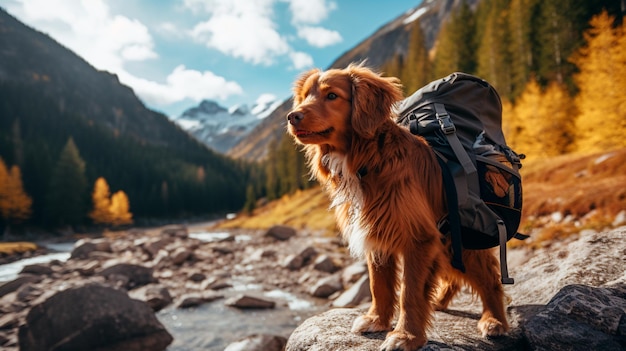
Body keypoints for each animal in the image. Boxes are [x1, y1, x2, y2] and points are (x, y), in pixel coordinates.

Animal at [286, 64, 508, 350]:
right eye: (304, 96)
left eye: (332, 95)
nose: (292, 116)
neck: (369, 160)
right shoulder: (377, 231)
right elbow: (378, 285)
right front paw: (377, 321)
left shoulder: (420, 238)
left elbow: (410, 293)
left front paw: (406, 336)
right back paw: (438, 303)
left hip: (465, 238)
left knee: (490, 279)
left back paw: (495, 321)